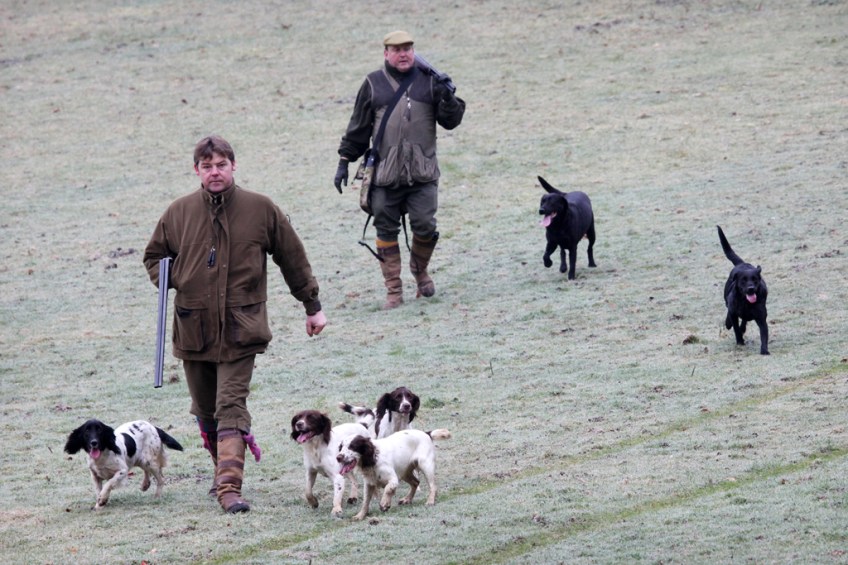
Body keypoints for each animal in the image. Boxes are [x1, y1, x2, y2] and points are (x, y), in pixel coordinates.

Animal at [717, 225, 769, 355]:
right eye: (743, 280)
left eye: (755, 279)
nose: (750, 288)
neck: (746, 303)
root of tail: (742, 263)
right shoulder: (733, 313)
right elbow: (735, 328)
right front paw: (740, 341)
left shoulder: (761, 318)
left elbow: (764, 334)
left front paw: (764, 350)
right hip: (727, 301)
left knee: (744, 320)